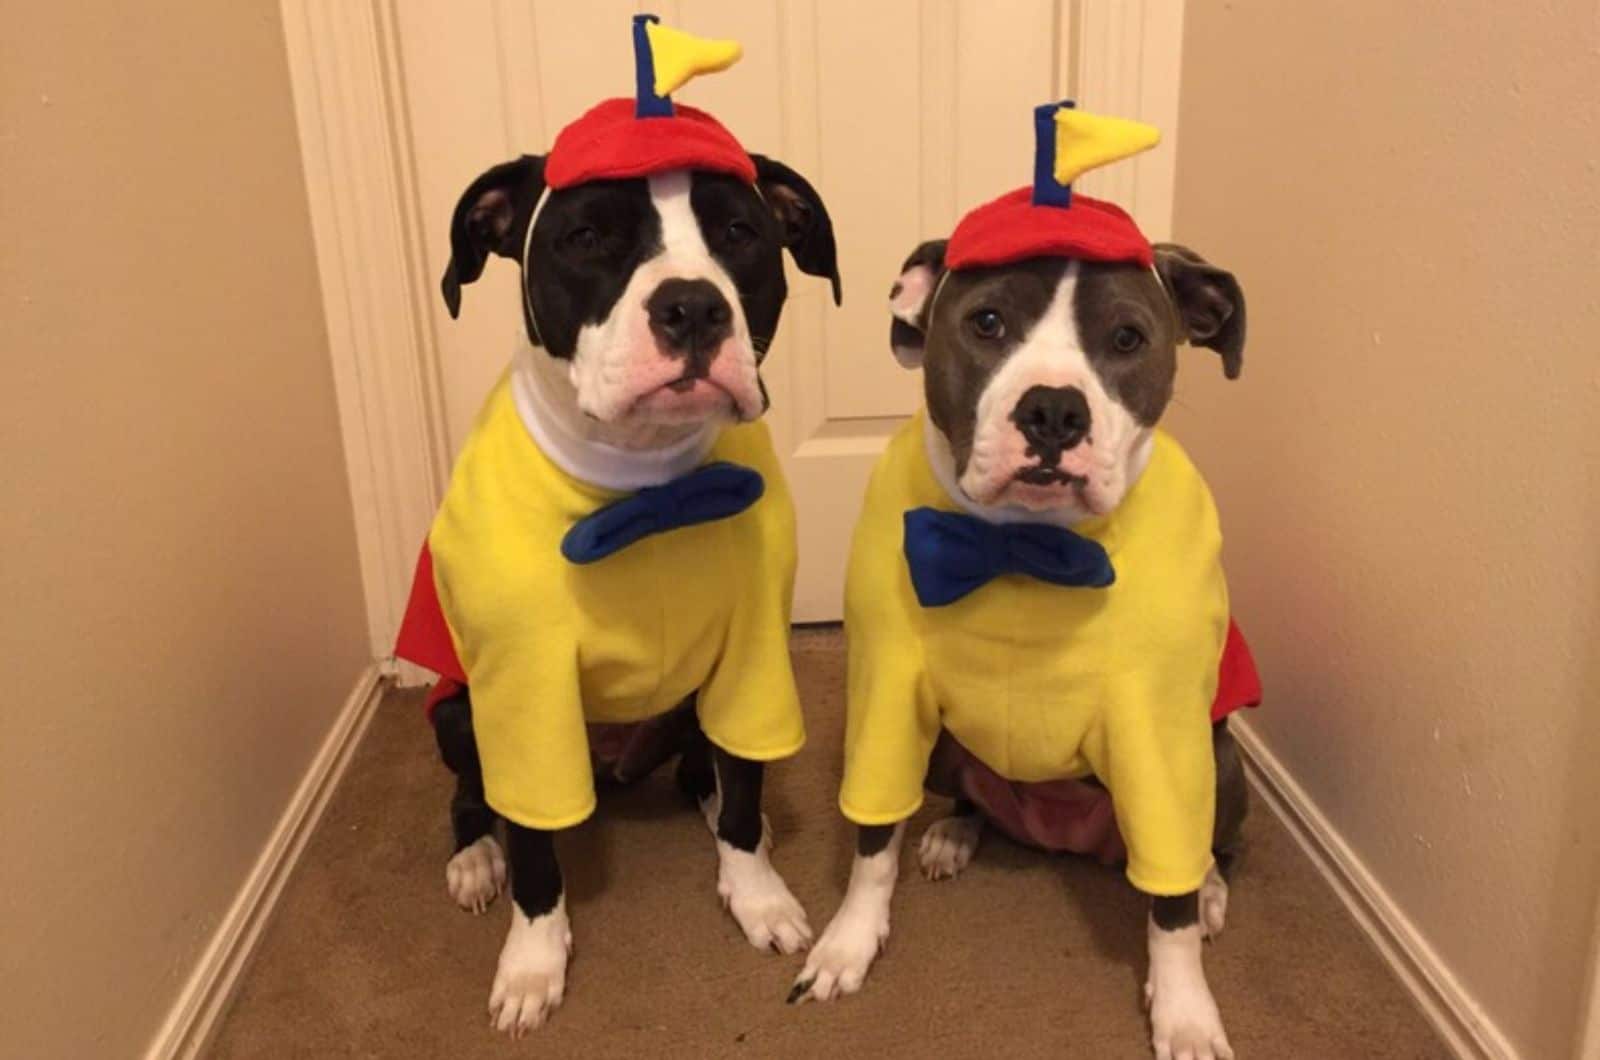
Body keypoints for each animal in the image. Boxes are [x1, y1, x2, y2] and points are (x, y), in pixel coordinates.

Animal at [432, 156, 844, 1037]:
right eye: (587, 236)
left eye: (740, 232)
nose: (692, 305)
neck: (643, 483)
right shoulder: (523, 698)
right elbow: (535, 850)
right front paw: (533, 962)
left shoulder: (754, 659)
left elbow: (746, 783)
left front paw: (756, 894)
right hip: (456, 710)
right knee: (470, 795)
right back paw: (475, 857)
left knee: (702, 763)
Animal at [800, 240, 1248, 1060]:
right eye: (987, 322)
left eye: (1128, 338)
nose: (1054, 410)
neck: (1025, 547)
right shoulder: (887, 699)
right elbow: (873, 840)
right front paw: (849, 943)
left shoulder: (1162, 738)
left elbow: (1167, 914)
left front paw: (1186, 1012)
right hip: (947, 745)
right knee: (966, 798)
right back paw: (953, 832)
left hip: (1222, 760)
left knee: (1209, 850)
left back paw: (1209, 888)